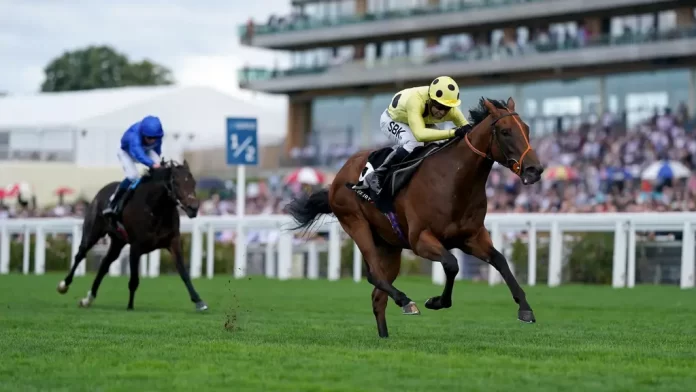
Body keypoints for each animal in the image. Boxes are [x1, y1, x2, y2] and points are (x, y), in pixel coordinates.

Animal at [55, 159, 208, 312]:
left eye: (193, 182)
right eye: (175, 182)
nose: (193, 208)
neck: (155, 208)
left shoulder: (173, 241)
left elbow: (184, 273)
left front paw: (199, 301)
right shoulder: (136, 246)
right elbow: (134, 279)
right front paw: (130, 306)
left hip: (118, 241)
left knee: (104, 264)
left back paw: (88, 299)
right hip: (92, 232)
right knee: (80, 254)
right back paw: (64, 285)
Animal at [286, 97, 544, 336]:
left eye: (527, 129)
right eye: (505, 131)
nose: (535, 170)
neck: (454, 181)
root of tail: (339, 175)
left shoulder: (472, 237)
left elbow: (500, 261)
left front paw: (525, 308)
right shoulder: (420, 239)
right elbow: (452, 264)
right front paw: (436, 301)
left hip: (389, 245)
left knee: (378, 296)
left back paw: (385, 336)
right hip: (355, 223)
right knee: (374, 275)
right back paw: (405, 301)